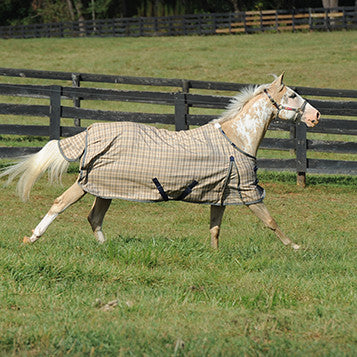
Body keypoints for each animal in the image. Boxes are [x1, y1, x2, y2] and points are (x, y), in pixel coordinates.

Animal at [0, 73, 320, 249]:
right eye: (293, 95)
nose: (316, 116)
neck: (236, 139)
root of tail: (91, 131)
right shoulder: (247, 191)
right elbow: (271, 221)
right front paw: (296, 247)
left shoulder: (221, 192)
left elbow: (215, 227)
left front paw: (214, 254)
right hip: (87, 183)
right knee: (60, 204)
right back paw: (32, 238)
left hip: (105, 188)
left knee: (94, 218)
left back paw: (107, 247)